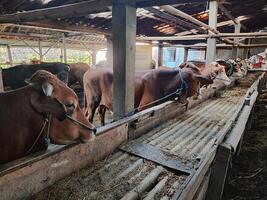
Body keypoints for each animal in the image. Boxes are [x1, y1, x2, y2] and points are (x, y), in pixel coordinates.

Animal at [85, 64, 215, 125]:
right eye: (197, 81)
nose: (199, 95)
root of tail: (90, 71)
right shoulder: (142, 108)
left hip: (103, 102)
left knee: (101, 113)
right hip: (92, 101)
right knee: (89, 117)